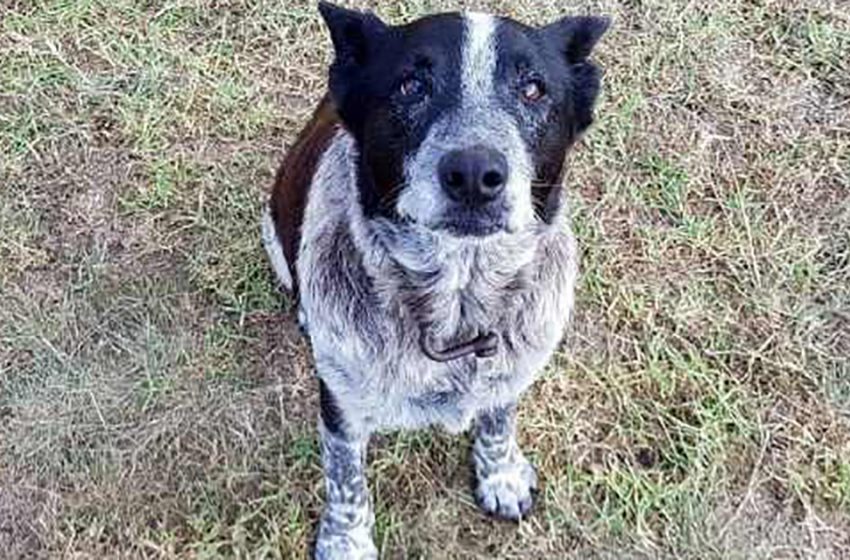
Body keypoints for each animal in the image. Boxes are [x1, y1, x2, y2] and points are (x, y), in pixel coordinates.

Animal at [262, 3, 608, 556]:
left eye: (533, 89)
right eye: (411, 86)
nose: (474, 174)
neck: (457, 303)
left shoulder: (510, 369)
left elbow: (497, 420)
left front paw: (500, 476)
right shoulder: (342, 404)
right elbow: (346, 479)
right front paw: (346, 541)